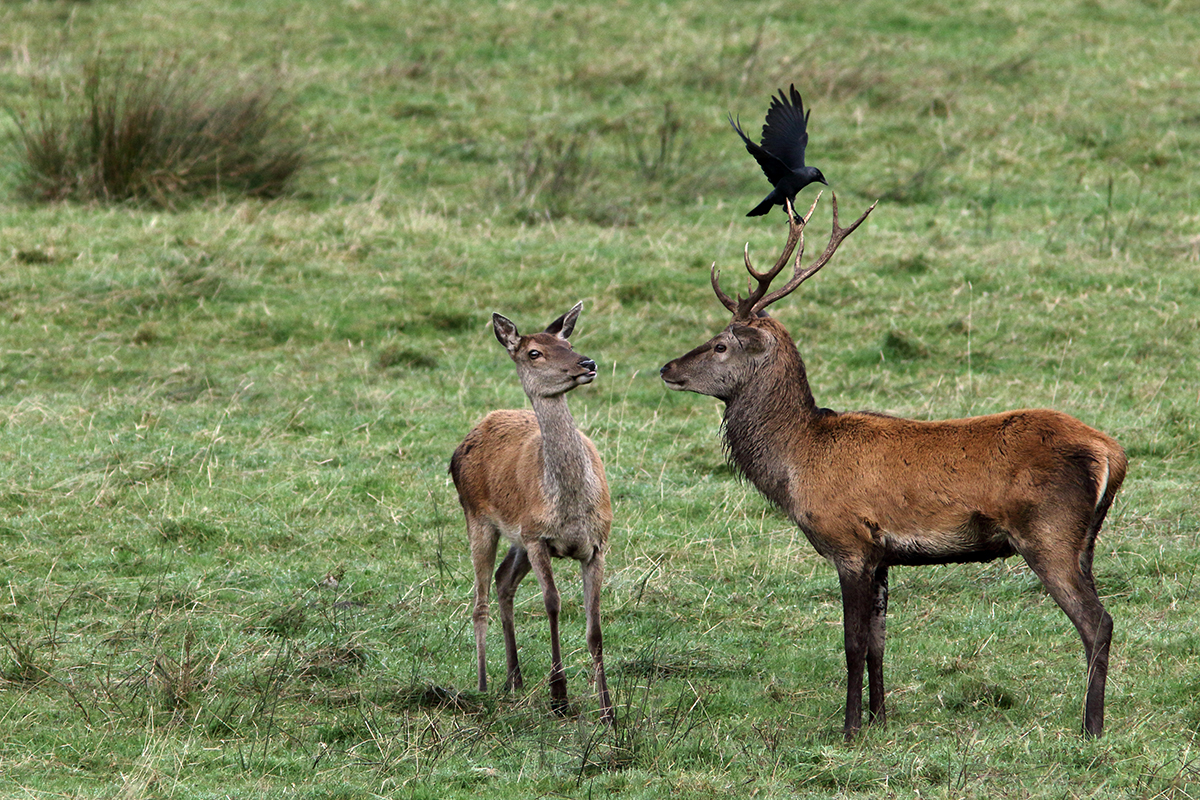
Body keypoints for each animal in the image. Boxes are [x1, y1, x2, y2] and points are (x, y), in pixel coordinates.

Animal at [453, 303, 614, 724]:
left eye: (568, 343)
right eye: (534, 353)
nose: (587, 363)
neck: (570, 508)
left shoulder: (597, 544)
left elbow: (595, 628)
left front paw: (609, 709)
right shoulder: (539, 538)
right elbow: (552, 604)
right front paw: (559, 696)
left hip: (518, 538)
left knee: (503, 580)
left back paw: (515, 679)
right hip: (479, 518)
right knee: (479, 599)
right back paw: (483, 685)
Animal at [667, 196, 1123, 743]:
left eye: (720, 344)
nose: (667, 368)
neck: (798, 461)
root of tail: (1112, 453)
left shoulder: (849, 543)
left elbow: (852, 645)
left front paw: (848, 731)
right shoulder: (882, 555)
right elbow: (880, 644)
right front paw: (881, 720)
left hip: (1049, 533)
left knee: (1098, 622)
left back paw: (1091, 727)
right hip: (1084, 543)